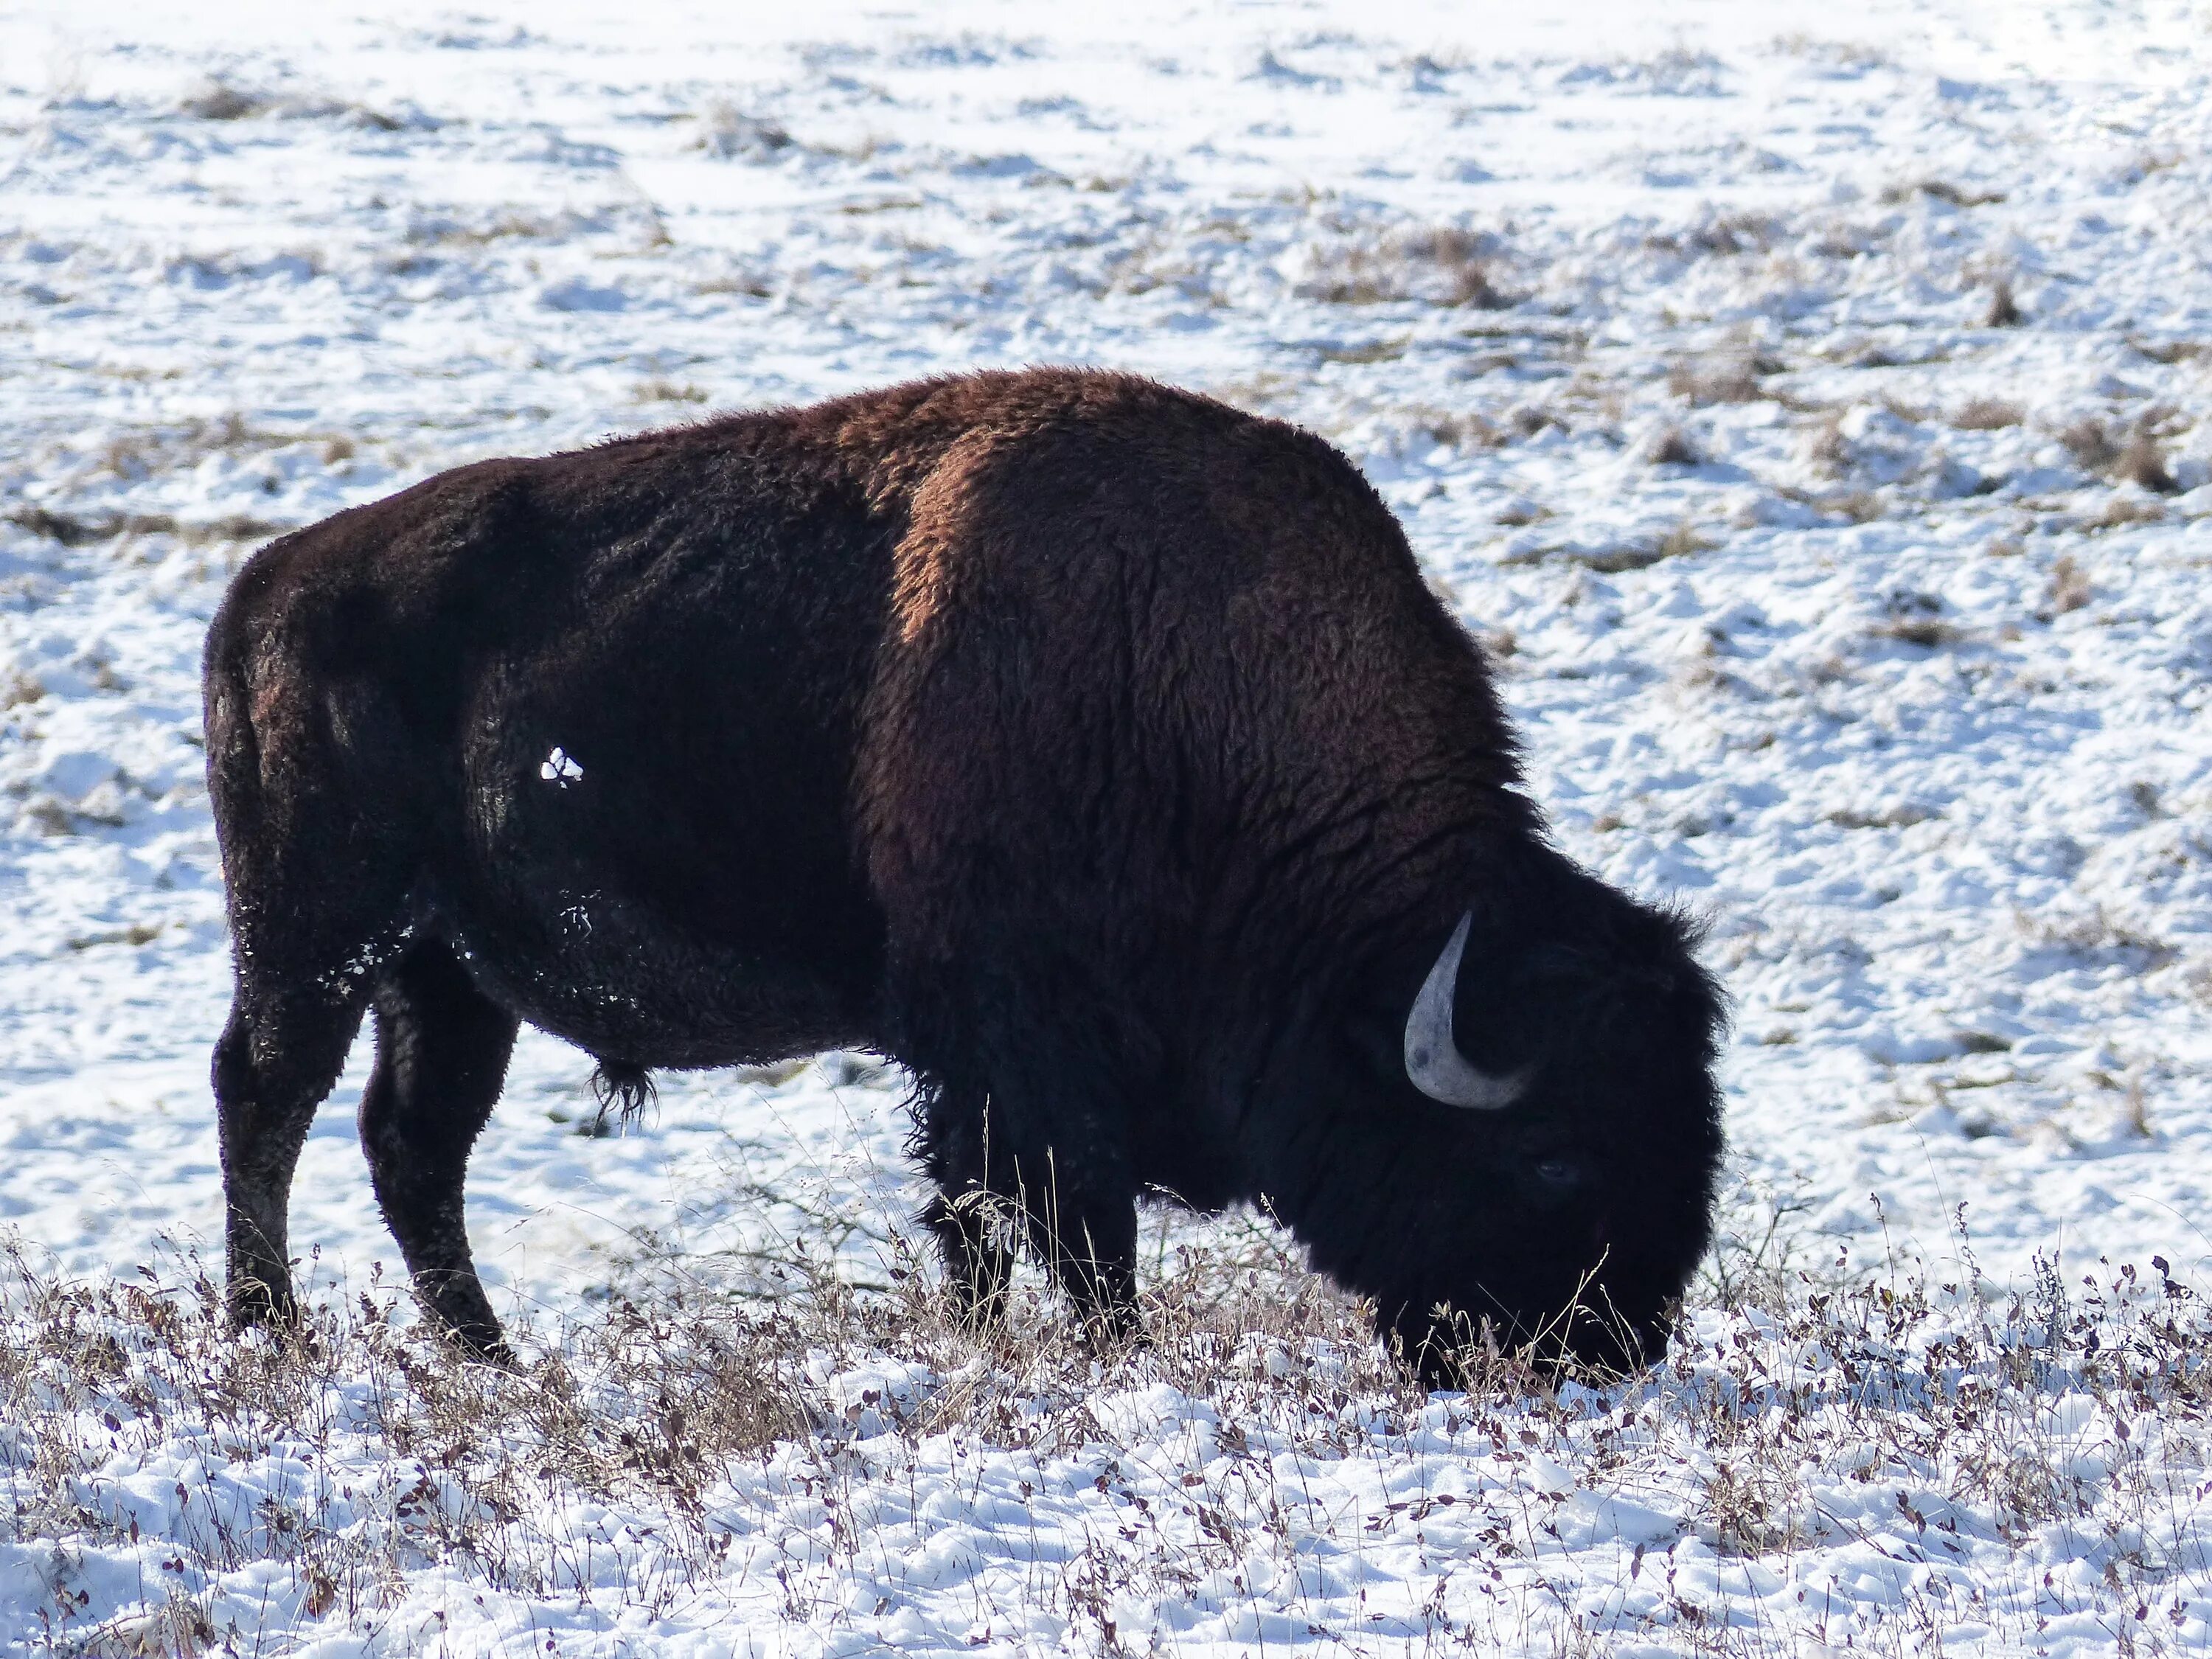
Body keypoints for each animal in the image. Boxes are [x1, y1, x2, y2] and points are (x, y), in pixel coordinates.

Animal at [208, 369, 1725, 1380]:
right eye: (1551, 1156)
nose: (1612, 1347)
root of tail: (264, 587)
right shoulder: (1016, 1049)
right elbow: (1061, 1224)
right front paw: (1107, 1361)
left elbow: (987, 1224)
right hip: (321, 940)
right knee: (268, 1101)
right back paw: (272, 1344)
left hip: (448, 978)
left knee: (414, 1145)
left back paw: (496, 1365)